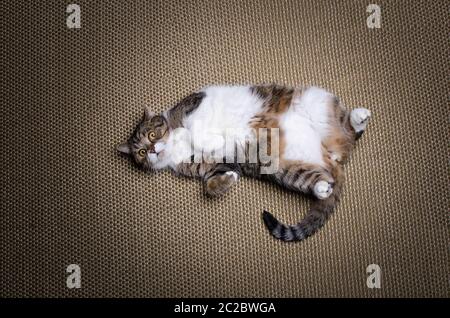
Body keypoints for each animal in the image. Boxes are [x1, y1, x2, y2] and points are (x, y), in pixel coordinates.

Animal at [118, 84, 370, 241]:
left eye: (152, 135)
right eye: (141, 152)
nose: (152, 150)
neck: (174, 149)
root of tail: (330, 155)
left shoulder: (196, 103)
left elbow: (194, 130)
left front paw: (210, 138)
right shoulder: (214, 164)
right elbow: (210, 184)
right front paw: (227, 180)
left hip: (316, 102)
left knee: (348, 131)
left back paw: (358, 117)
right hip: (286, 169)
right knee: (324, 173)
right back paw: (321, 187)